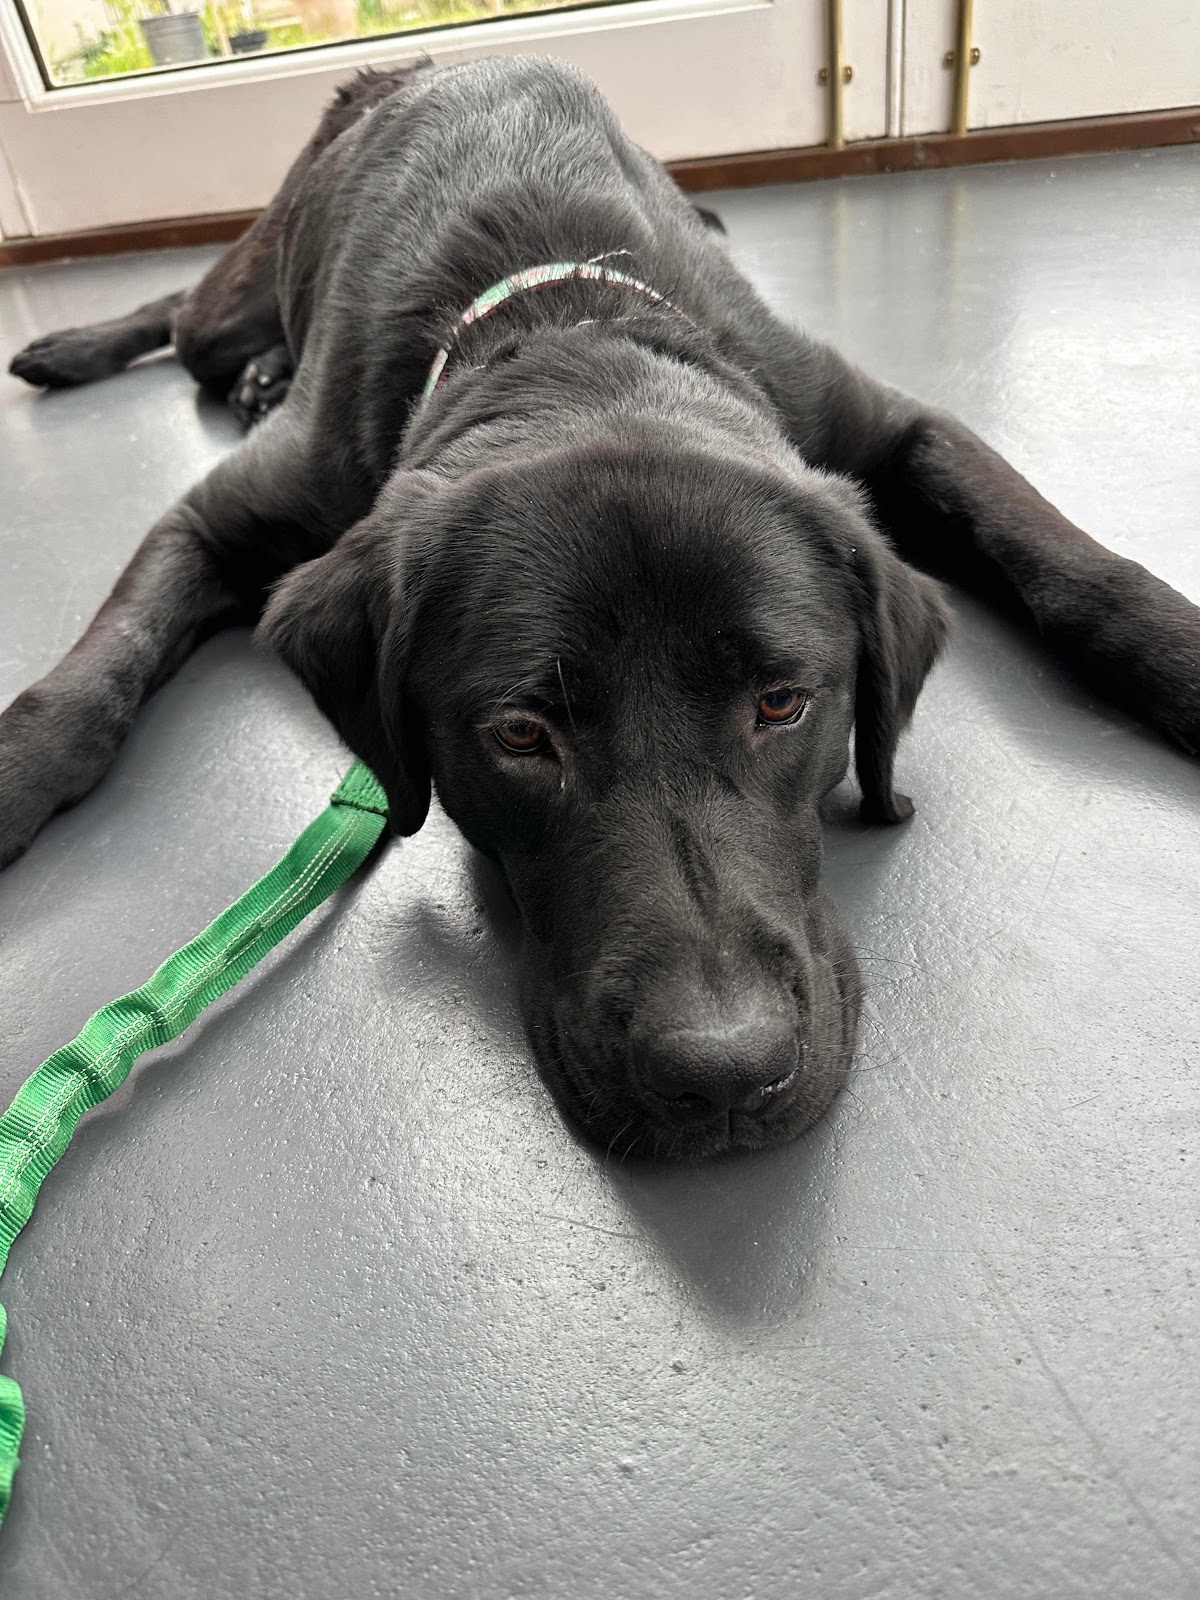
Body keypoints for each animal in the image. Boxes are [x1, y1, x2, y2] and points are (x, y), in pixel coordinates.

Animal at [4, 58, 1198, 1162]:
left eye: (783, 703)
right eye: (522, 735)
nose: (725, 1076)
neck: (565, 323)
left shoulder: (887, 424)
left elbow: (1072, 565)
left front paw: (1180, 655)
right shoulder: (220, 514)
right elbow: (96, 681)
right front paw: (17, 771)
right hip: (243, 285)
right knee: (182, 310)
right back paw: (86, 350)